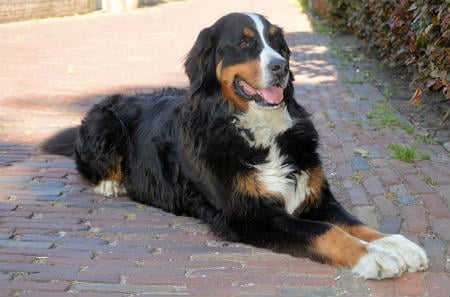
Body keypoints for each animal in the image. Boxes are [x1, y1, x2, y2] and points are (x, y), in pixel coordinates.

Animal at [43, 12, 428, 278]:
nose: (282, 66)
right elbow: (326, 232)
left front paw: (397, 245)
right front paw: (373, 257)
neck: (261, 130)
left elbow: (357, 225)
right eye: (244, 44)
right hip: (104, 122)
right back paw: (111, 183)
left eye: (277, 44)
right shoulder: (250, 214)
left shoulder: (316, 197)